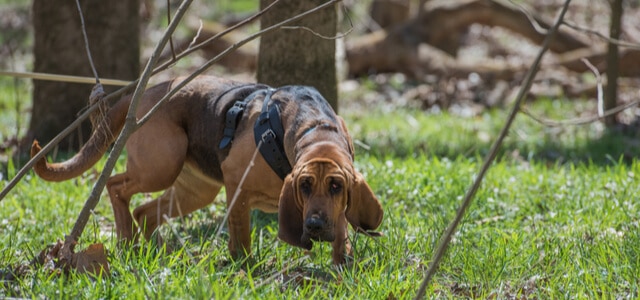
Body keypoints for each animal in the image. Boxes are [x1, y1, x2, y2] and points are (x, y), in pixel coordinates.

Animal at [31, 75, 380, 264]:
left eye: (336, 187)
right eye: (304, 186)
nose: (316, 225)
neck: (314, 128)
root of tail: (148, 91)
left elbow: (342, 234)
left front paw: (342, 264)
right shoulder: (237, 188)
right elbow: (241, 236)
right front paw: (244, 267)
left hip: (196, 190)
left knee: (145, 211)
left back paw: (151, 250)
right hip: (161, 166)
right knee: (115, 186)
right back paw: (127, 239)